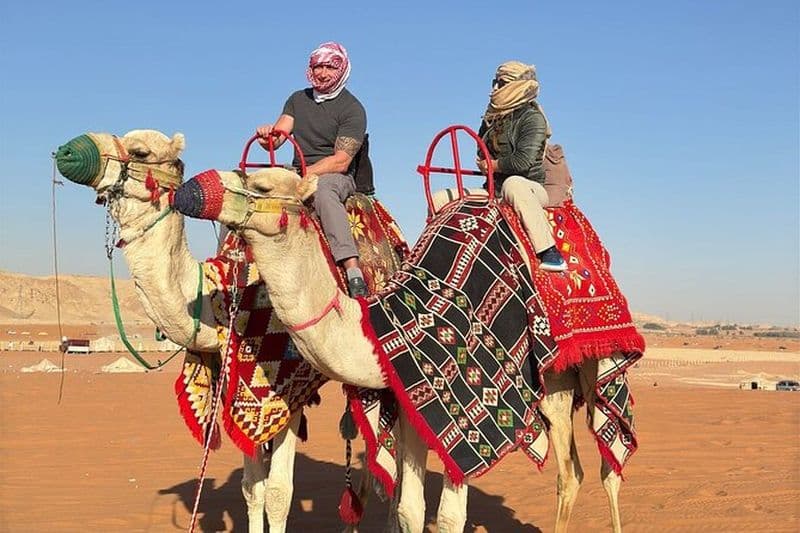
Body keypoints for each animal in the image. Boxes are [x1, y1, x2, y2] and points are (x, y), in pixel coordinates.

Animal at [54, 130, 378, 533]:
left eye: (140, 151)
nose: (68, 150)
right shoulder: (236, 380)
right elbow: (252, 487)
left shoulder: (287, 387)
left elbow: (278, 492)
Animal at [173, 166, 626, 532]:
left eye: (261, 184)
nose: (192, 188)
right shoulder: (413, 404)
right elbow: (409, 509)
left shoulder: (464, 404)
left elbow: (448, 517)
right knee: (577, 471)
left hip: (584, 372)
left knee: (596, 469)